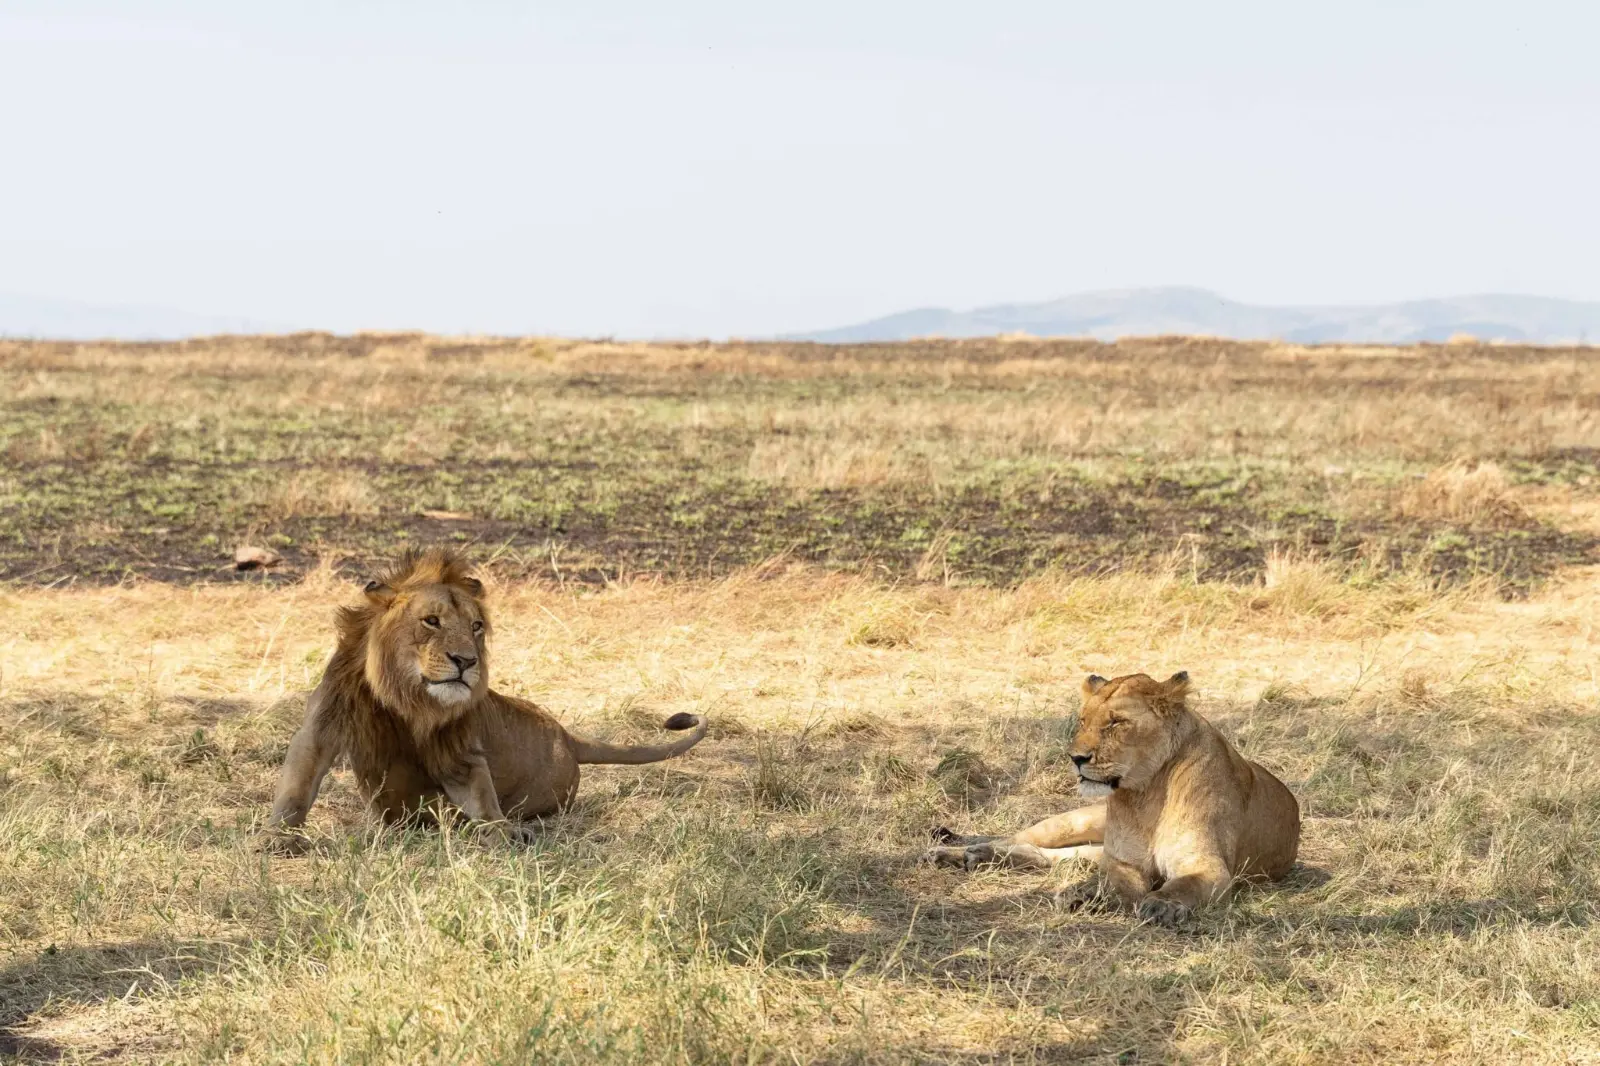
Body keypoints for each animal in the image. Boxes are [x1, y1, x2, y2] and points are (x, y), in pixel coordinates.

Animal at [266, 549, 708, 848]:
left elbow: (481, 801)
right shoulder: (321, 727)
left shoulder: (459, 754)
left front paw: (502, 832)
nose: (466, 661)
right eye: (431, 621)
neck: (406, 697)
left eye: (476, 626)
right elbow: (296, 790)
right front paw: (278, 837)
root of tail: (568, 737)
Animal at [925, 671, 1299, 925]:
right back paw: (960, 853)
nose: (1075, 758)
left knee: (1058, 857)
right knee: (1020, 839)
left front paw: (1161, 904)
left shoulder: (1207, 866)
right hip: (1073, 821)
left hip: (1089, 847)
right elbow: (1113, 884)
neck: (1147, 793)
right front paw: (1086, 895)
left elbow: (1184, 886)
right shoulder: (1123, 861)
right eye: (1082, 720)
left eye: (1116, 723)